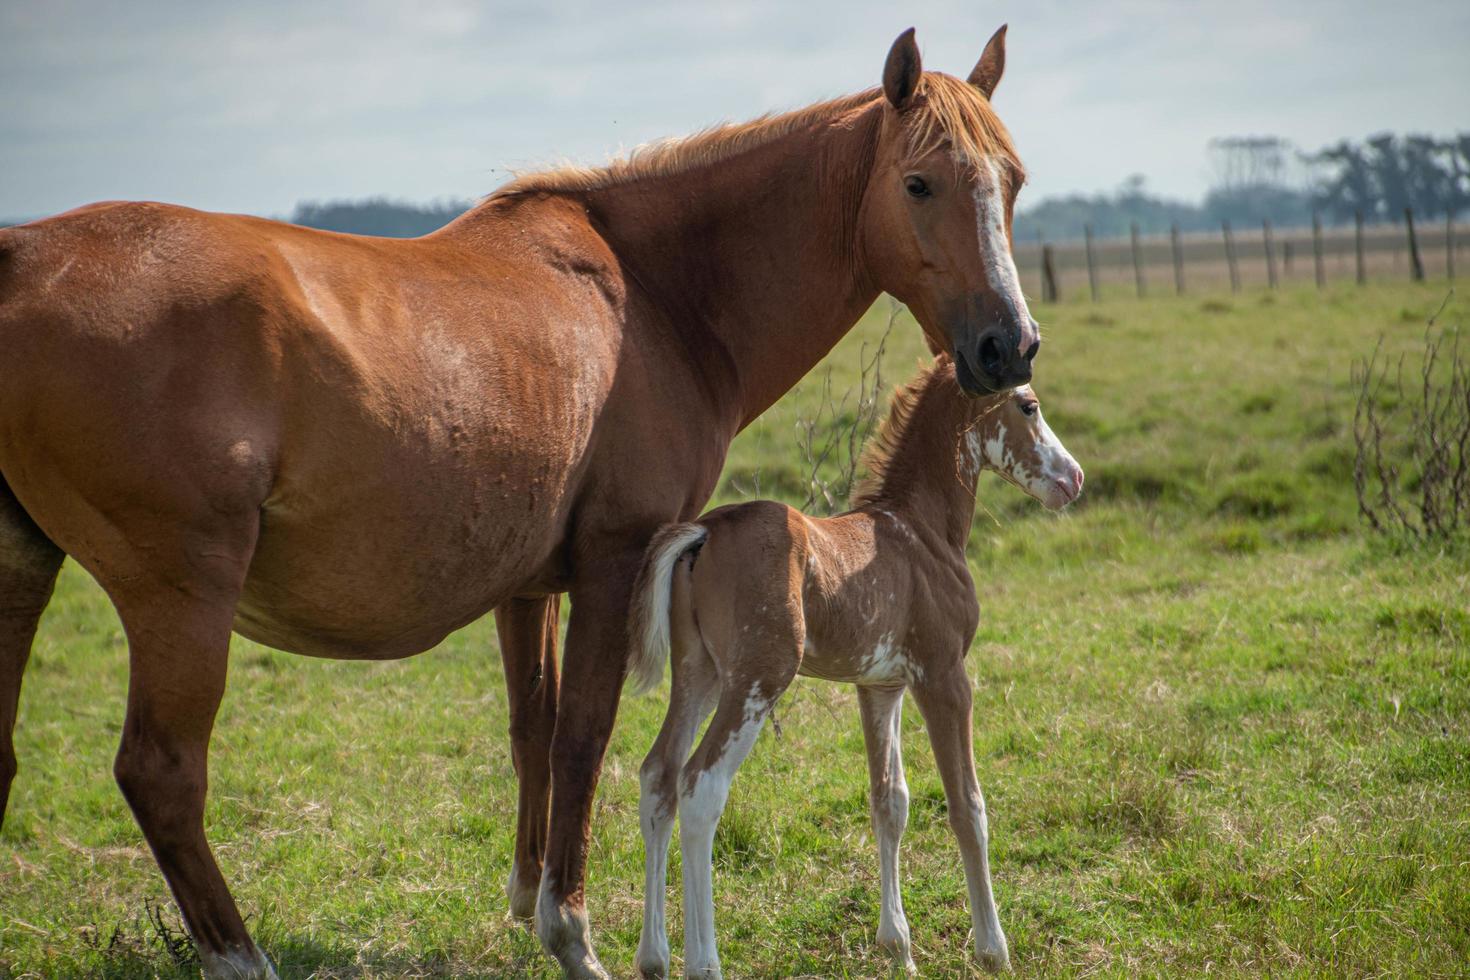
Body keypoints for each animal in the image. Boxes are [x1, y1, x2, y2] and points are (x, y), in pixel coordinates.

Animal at [0, 22, 1034, 980]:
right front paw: (570, 931)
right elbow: (583, 738)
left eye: (1014, 182)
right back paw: (239, 956)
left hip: (25, 573)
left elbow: (531, 731)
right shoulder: (616, 565)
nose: (1008, 347)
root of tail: (19, 258)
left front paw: (525, 896)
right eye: (920, 184)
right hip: (182, 600)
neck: (653, 294)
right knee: (163, 775)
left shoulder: (529, 585)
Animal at [629, 358, 1081, 975]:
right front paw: (993, 950)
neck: (922, 531)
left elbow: (890, 801)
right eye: (1028, 405)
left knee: (659, 776)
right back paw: (703, 962)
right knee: (701, 785)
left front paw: (898, 948)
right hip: (756, 680)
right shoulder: (944, 677)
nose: (1074, 479)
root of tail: (705, 531)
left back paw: (653, 957)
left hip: (700, 674)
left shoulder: (880, 686)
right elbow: (967, 805)